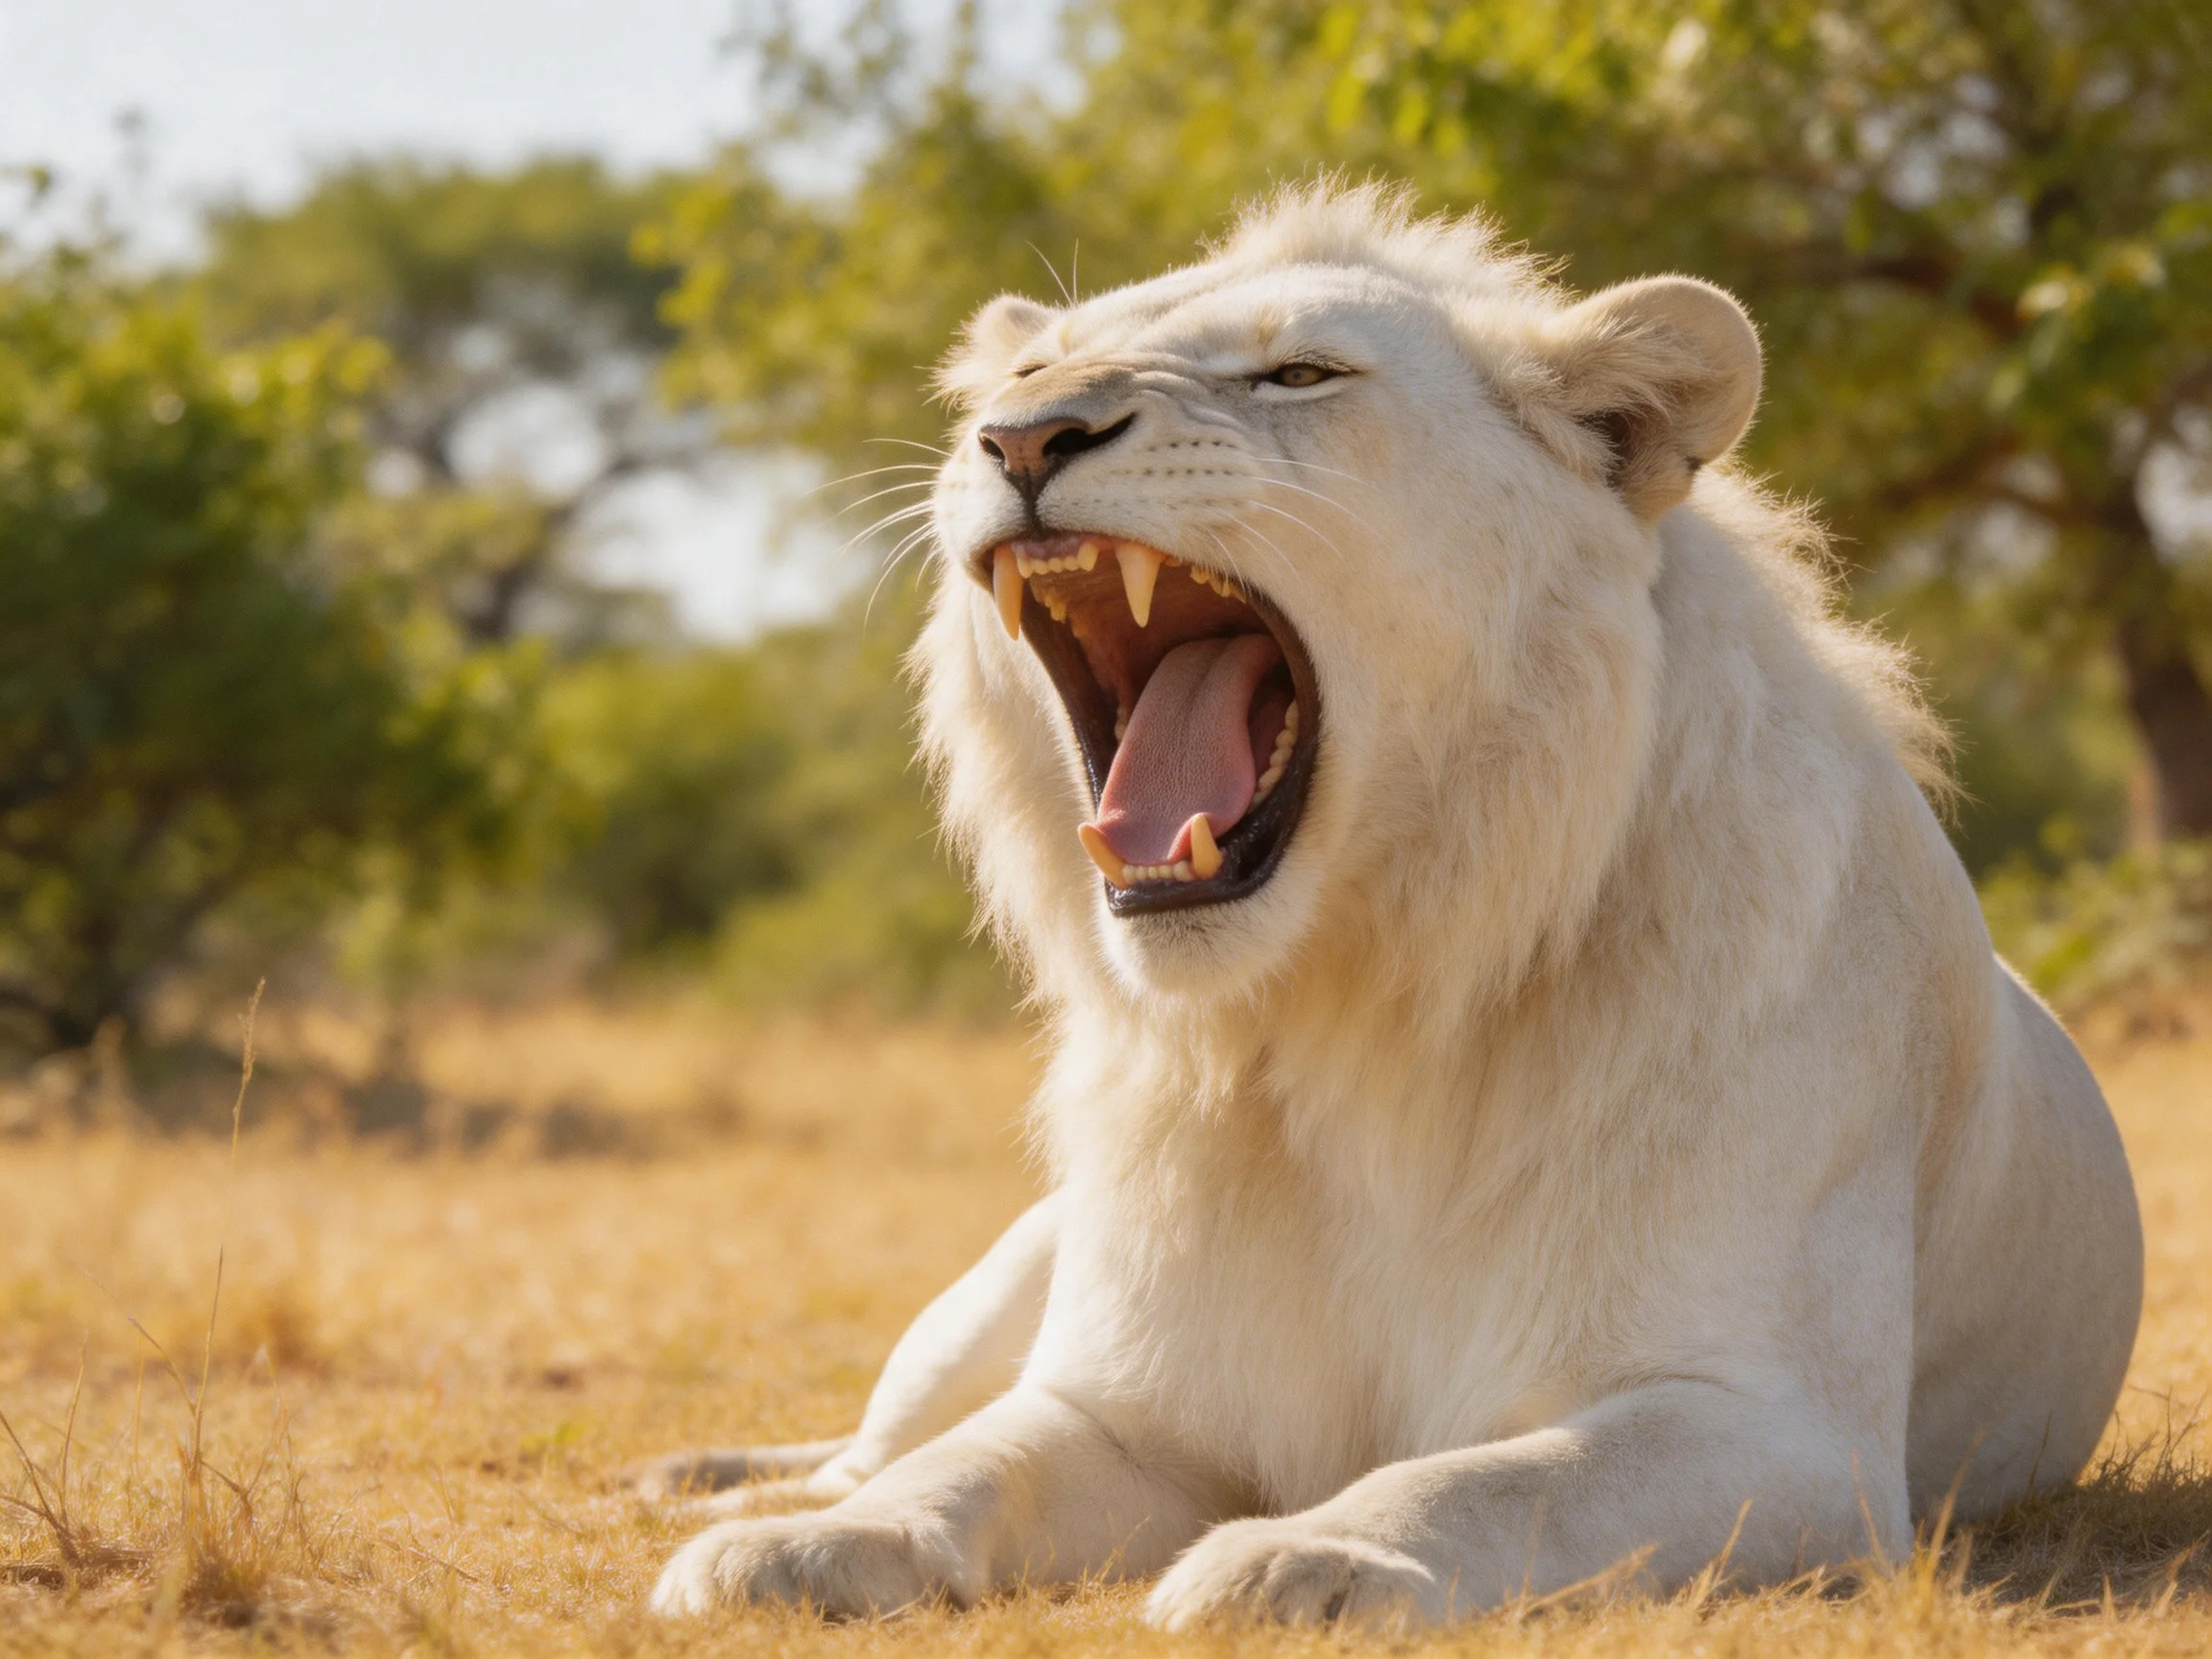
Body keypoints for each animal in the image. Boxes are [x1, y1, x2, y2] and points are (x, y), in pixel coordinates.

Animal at [646, 183, 2142, 1628]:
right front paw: (801, 1554)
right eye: (1026, 368)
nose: (1018, 439)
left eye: (1299, 373)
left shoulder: (1783, 1432)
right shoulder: (1124, 1404)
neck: (1347, 1003)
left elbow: (1497, 1479)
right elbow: (970, 1469)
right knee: (878, 1440)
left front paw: (1303, 1558)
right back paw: (731, 1490)